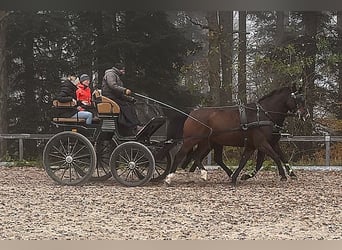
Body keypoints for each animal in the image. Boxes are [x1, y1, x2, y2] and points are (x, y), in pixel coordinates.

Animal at [165, 84, 308, 186]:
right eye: (298, 99)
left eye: (304, 99)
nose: (305, 115)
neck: (264, 114)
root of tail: (191, 114)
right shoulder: (262, 143)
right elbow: (275, 157)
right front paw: (283, 176)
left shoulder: (263, 144)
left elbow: (252, 161)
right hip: (191, 140)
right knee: (180, 155)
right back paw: (169, 178)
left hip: (207, 143)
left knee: (199, 156)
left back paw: (206, 174)